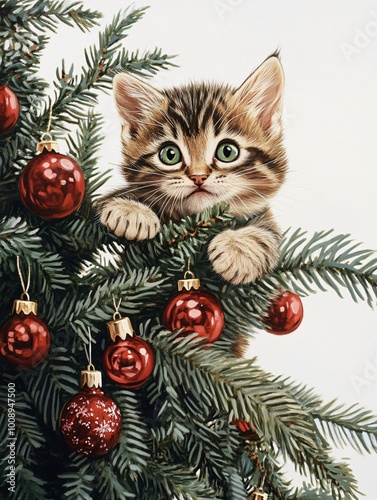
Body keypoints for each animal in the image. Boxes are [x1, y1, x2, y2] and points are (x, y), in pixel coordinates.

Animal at [98, 55, 286, 286]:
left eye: (227, 151)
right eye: (170, 154)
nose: (198, 176)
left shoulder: (264, 215)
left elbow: (268, 231)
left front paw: (239, 251)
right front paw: (130, 211)